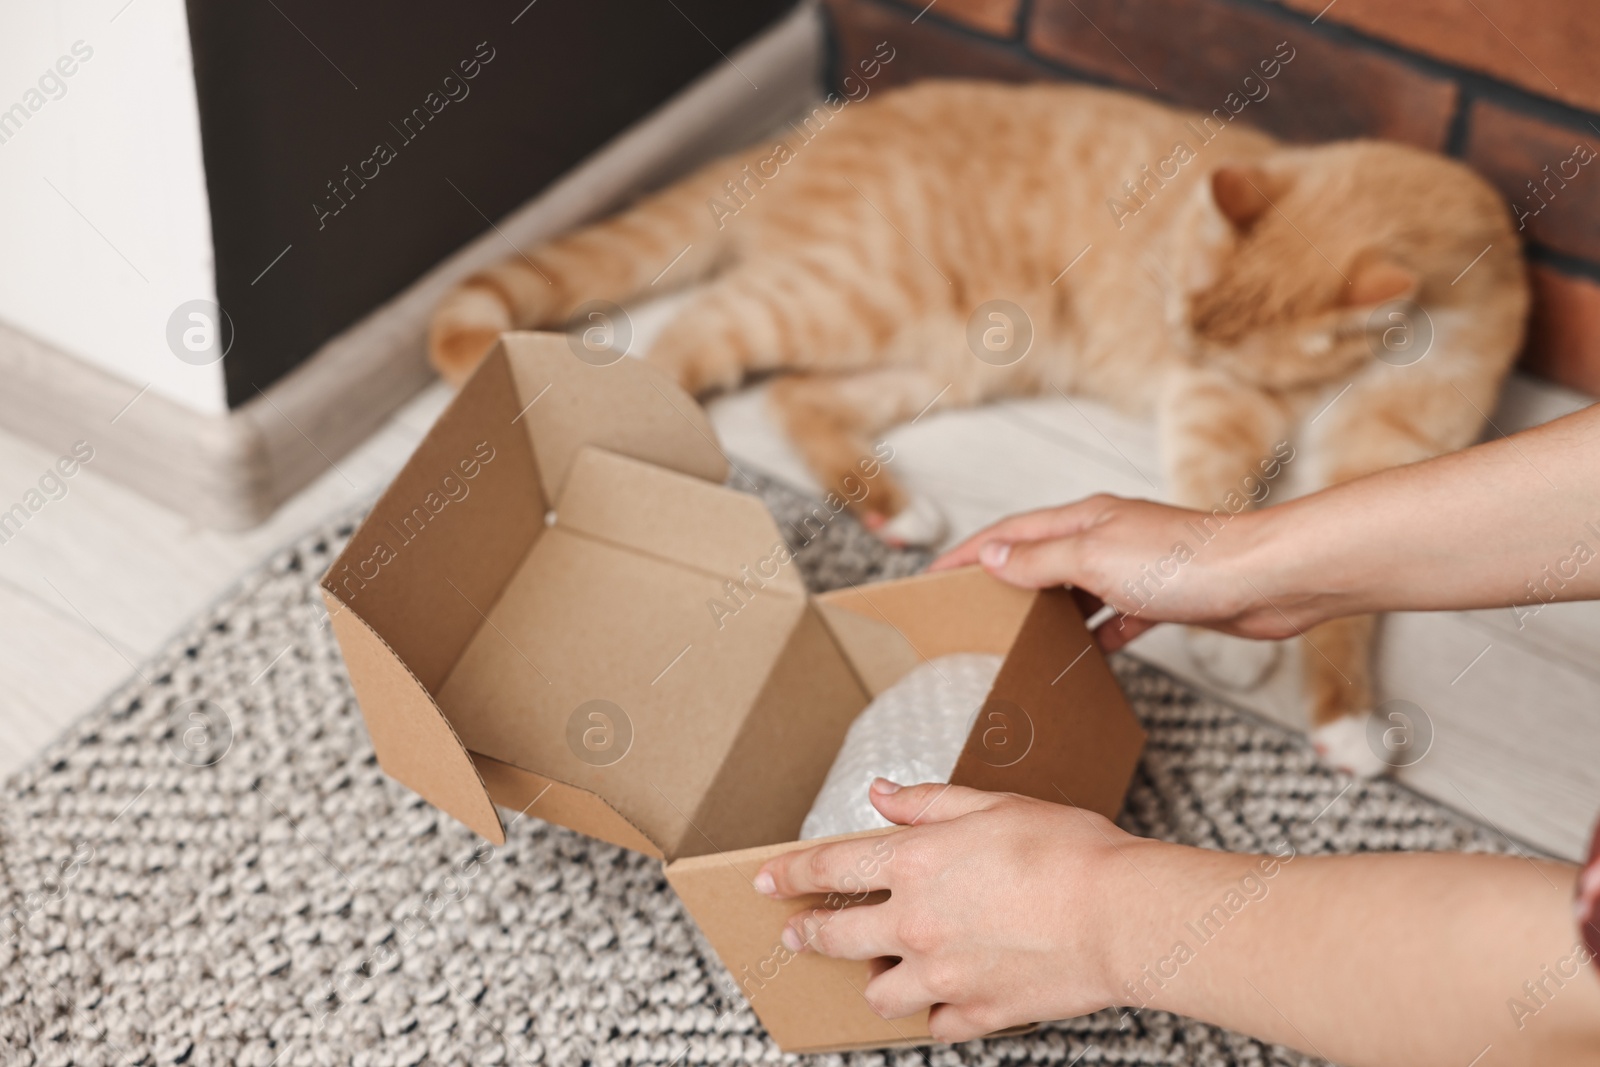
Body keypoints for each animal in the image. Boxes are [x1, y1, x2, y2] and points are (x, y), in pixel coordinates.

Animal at [432, 79, 1529, 771]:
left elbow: (1345, 594)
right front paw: (1230, 645)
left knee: (797, 395)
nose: (1181, 341)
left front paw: (1343, 715)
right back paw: (649, 471)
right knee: (688, 338)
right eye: (1179, 323)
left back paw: (893, 508)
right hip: (850, 294)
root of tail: (821, 125)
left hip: (962, 347)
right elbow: (1214, 509)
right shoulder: (1217, 407)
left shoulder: (1388, 459)